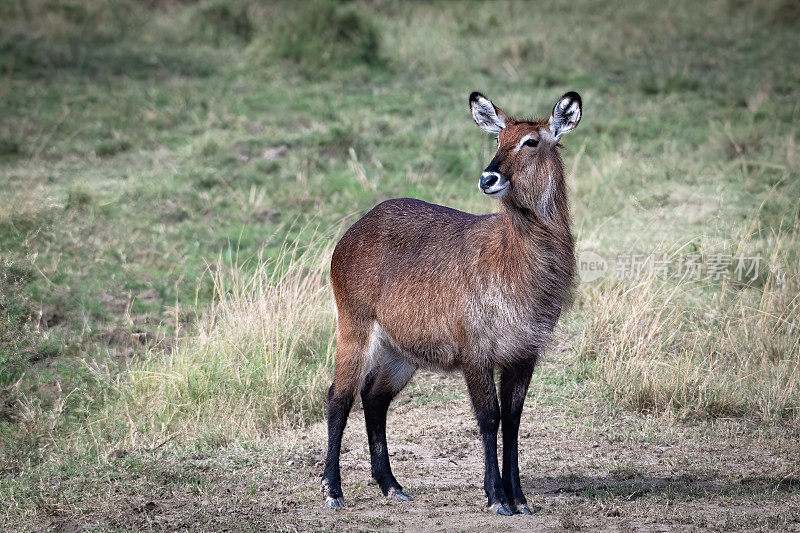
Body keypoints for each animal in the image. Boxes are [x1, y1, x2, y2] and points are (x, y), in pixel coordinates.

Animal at [320, 89, 580, 512]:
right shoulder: (476, 351)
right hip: (354, 328)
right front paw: (496, 497)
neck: (515, 261)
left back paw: (392, 485)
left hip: (401, 351)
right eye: (497, 138)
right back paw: (333, 490)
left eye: (531, 141)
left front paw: (519, 497)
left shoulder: (524, 353)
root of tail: (355, 229)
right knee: (338, 397)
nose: (488, 178)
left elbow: (513, 420)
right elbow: (489, 418)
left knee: (374, 400)